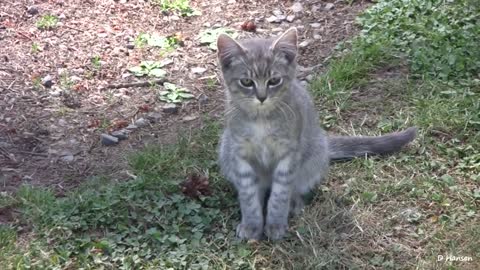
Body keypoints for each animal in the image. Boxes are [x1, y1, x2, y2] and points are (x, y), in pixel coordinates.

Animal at [218, 28, 416, 240]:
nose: (262, 97)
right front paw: (252, 225)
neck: (261, 120)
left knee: (296, 188)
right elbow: (248, 196)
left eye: (274, 81)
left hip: (313, 156)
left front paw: (275, 223)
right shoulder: (239, 154)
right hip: (225, 150)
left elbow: (280, 194)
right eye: (246, 82)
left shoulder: (289, 154)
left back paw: (294, 204)